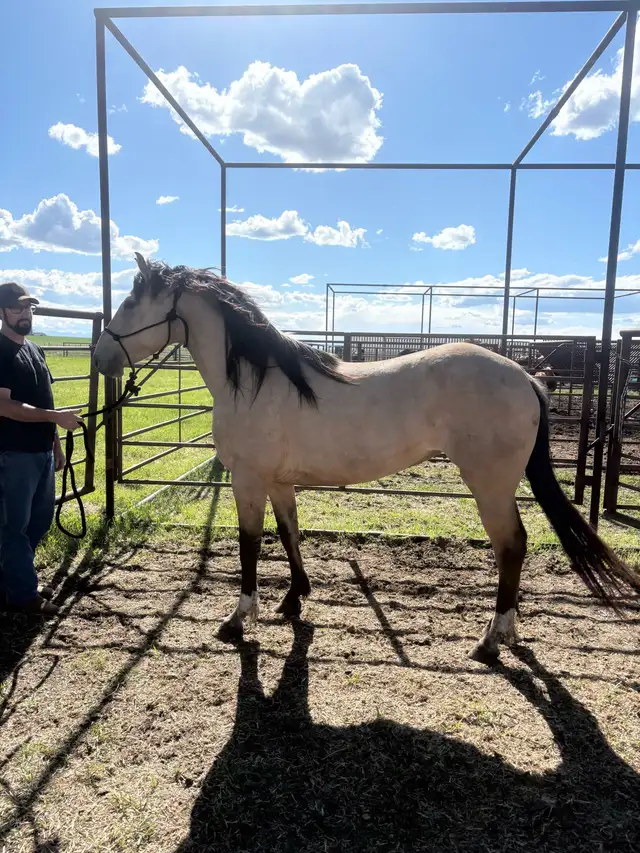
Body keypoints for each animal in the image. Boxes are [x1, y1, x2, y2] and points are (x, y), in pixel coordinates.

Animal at [92, 255, 640, 663]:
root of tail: (525, 376)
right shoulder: (278, 481)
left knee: (512, 546)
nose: (100, 358)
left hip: (490, 486)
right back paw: (504, 633)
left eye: (130, 301)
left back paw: (489, 641)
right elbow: (290, 533)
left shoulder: (247, 481)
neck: (255, 383)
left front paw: (237, 619)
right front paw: (294, 599)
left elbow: (249, 547)